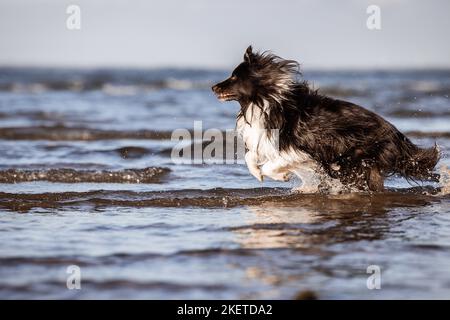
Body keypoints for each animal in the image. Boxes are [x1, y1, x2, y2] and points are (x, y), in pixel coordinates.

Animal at [212, 46, 440, 191]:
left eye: (234, 76)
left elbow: (270, 164)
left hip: (354, 159)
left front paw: (281, 176)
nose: (213, 87)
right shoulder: (265, 140)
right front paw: (259, 175)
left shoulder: (297, 149)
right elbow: (250, 157)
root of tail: (396, 135)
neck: (265, 99)